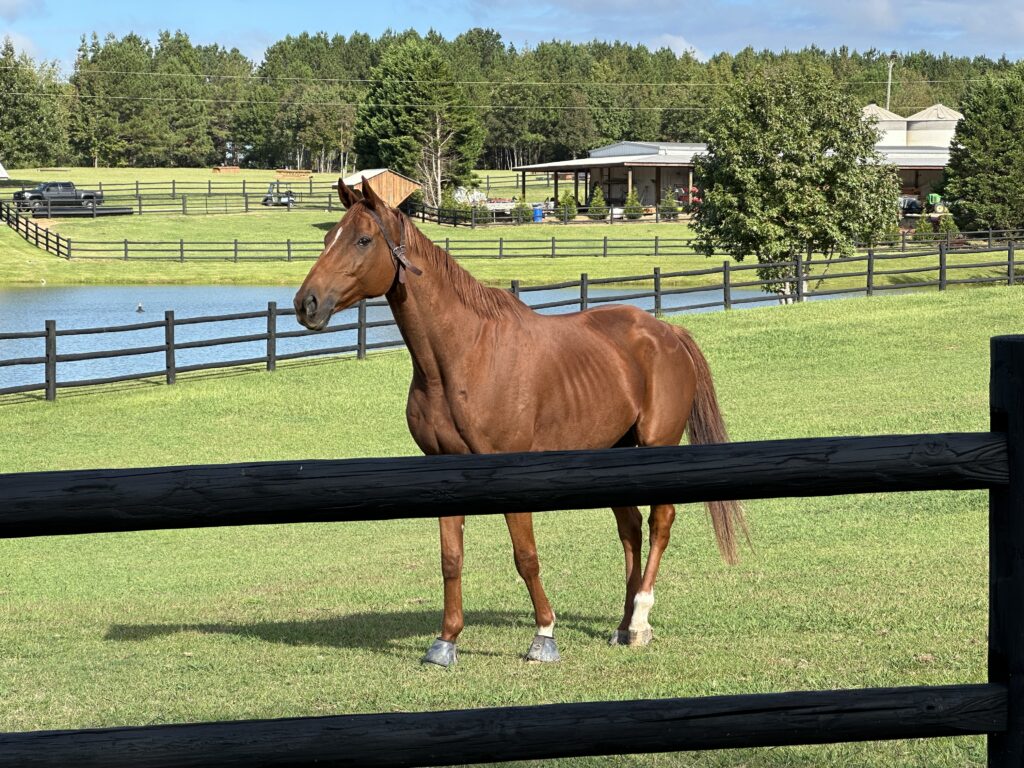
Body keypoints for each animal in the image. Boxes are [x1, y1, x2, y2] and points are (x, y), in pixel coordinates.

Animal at [294, 179, 745, 667]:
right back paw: (623, 625)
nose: (306, 303)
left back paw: (640, 622)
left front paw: (544, 634)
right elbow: (450, 558)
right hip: (615, 449)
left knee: (661, 521)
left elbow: (525, 556)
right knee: (630, 527)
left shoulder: (510, 470)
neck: (465, 354)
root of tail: (666, 332)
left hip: (657, 444)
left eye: (363, 240)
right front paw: (445, 641)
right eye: (327, 238)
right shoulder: (443, 469)